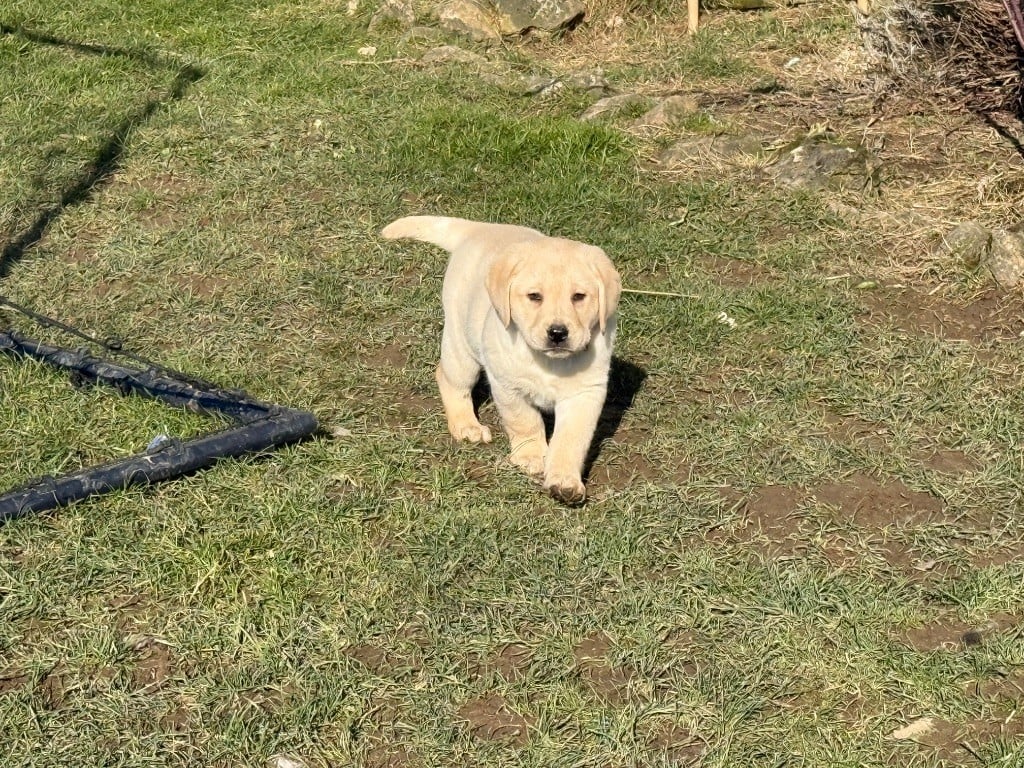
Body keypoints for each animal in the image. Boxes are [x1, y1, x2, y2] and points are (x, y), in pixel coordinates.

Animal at [380, 217, 618, 505]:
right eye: (535, 297)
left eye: (579, 297)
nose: (558, 333)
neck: (549, 363)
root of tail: (481, 227)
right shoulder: (506, 384)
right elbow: (524, 421)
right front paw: (531, 455)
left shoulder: (585, 394)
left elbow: (571, 440)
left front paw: (565, 481)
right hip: (461, 346)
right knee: (448, 379)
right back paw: (466, 426)